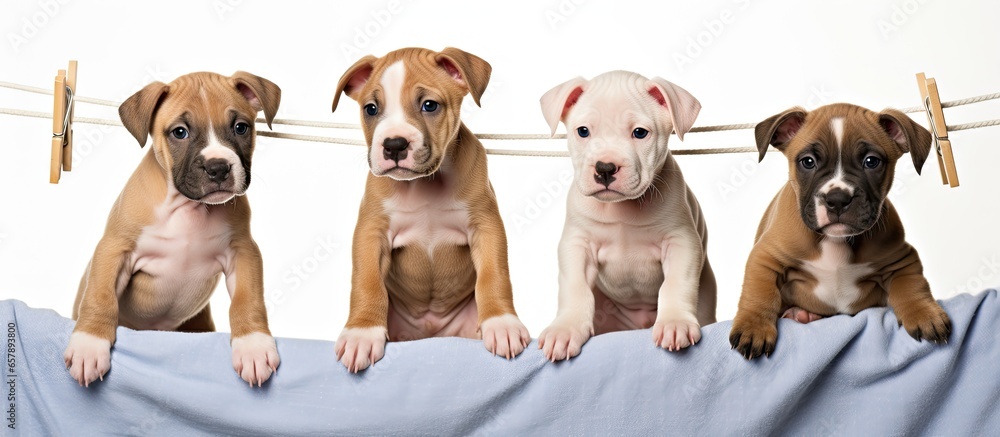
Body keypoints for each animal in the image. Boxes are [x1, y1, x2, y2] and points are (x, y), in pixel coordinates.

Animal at [63, 70, 282, 384]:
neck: (189, 209)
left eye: (241, 127)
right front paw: (89, 345)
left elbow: (247, 299)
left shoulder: (243, 252)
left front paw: (253, 346)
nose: (218, 168)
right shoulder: (114, 249)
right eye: (180, 132)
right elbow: (100, 295)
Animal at [330, 46, 532, 368]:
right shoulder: (371, 232)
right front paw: (361, 332)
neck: (424, 184)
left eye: (429, 105)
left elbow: (495, 275)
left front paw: (502, 323)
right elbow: (366, 281)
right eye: (371, 109)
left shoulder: (486, 227)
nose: (394, 144)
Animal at [536, 70, 716, 360]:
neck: (622, 208)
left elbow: (676, 283)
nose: (605, 168)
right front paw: (565, 328)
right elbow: (575, 287)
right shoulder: (577, 245)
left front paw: (674, 322)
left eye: (640, 133)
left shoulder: (681, 242)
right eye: (583, 131)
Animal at [728, 102, 952, 358]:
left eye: (871, 162)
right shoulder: (766, 257)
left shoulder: (902, 260)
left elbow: (912, 285)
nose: (837, 199)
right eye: (808, 162)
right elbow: (759, 292)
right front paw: (753, 327)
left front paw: (925, 314)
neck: (835, 240)